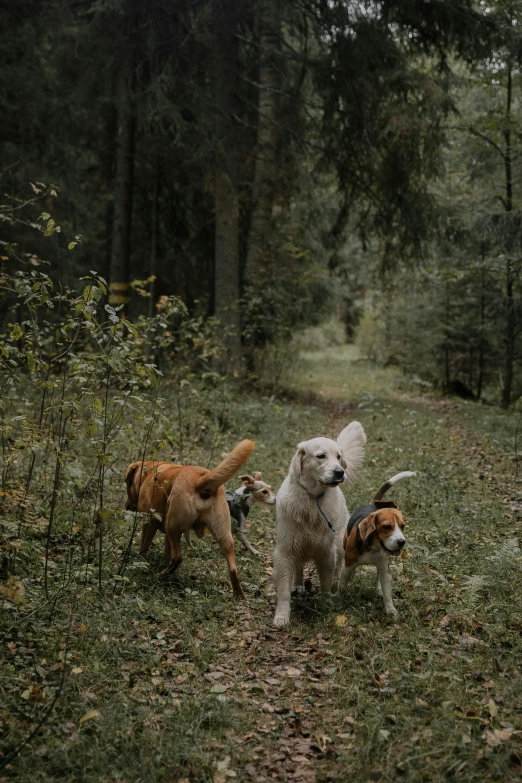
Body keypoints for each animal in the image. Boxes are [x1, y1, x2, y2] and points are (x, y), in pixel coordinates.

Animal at [126, 438, 256, 596]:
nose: (126, 506)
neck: (149, 472)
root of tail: (201, 481)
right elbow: (166, 550)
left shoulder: (149, 521)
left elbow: (144, 544)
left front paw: (140, 557)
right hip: (224, 535)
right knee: (232, 568)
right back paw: (238, 594)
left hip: (172, 527)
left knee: (177, 557)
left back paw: (162, 575)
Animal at [272, 422, 366, 632]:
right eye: (321, 456)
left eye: (338, 456)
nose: (340, 472)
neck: (312, 499)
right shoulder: (285, 550)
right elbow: (283, 591)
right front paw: (281, 616)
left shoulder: (326, 551)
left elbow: (325, 581)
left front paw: (325, 603)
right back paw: (298, 584)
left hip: (339, 543)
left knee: (338, 568)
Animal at [338, 468, 414, 616]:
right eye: (386, 527)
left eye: (403, 526)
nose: (402, 542)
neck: (373, 547)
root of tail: (373, 505)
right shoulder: (348, 566)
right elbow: (342, 586)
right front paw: (335, 602)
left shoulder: (385, 568)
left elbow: (388, 593)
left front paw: (390, 610)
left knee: (379, 575)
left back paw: (379, 589)